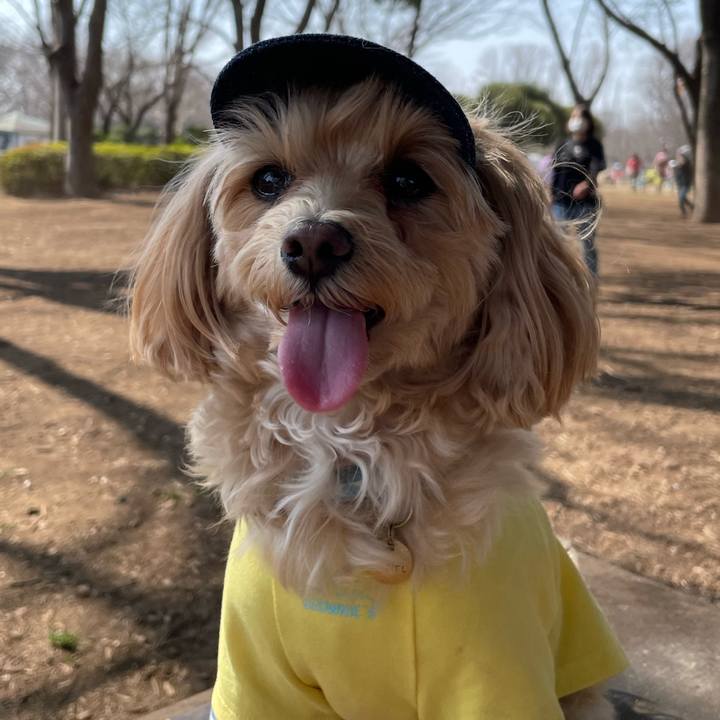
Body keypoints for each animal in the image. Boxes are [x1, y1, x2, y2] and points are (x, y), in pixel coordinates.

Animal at [130, 35, 626, 720]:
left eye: (408, 179)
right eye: (268, 180)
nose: (313, 243)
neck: (350, 445)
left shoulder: (497, 665)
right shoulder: (257, 672)